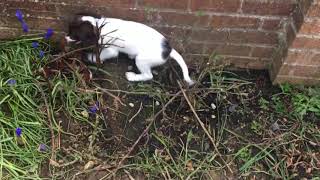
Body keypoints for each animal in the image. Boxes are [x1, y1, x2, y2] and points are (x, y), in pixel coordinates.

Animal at [65, 13, 195, 85]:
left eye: (73, 35)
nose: (65, 38)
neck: (98, 26)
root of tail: (168, 49)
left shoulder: (111, 50)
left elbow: (102, 55)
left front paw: (90, 57)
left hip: (142, 60)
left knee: (148, 76)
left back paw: (132, 76)